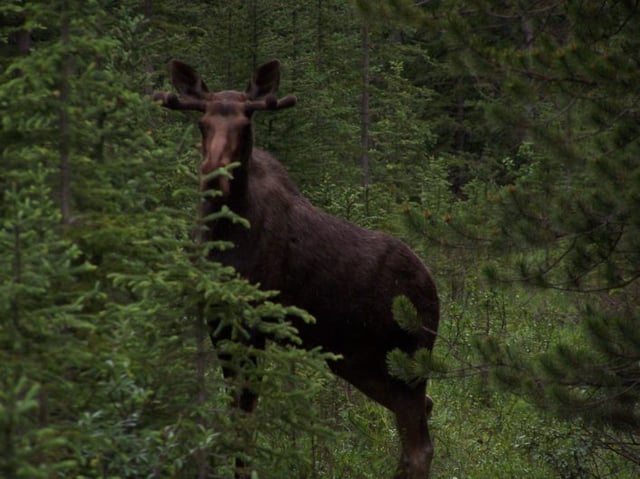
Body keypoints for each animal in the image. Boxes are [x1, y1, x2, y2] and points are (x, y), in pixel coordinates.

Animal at [153, 59, 440, 479]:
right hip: (360, 362)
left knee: (419, 444)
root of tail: (435, 293)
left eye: (246, 124)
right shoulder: (218, 320)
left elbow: (245, 428)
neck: (223, 237)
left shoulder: (254, 323)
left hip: (407, 360)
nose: (215, 173)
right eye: (202, 123)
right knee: (421, 422)